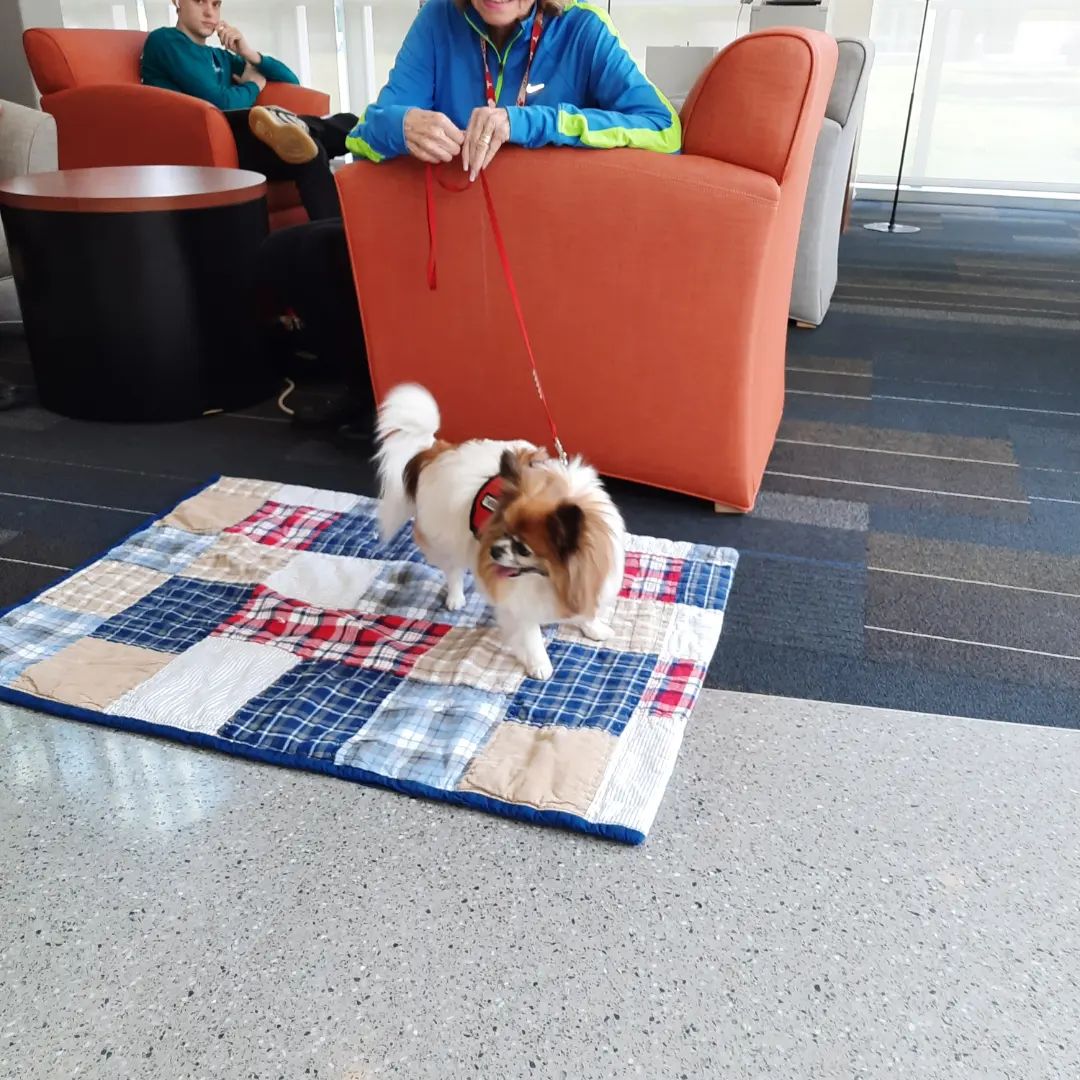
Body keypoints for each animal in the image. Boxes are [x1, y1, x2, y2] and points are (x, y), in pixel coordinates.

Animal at [375, 384, 626, 678]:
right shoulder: (518, 600)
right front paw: (539, 664)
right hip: (445, 541)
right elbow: (530, 634)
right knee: (453, 570)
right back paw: (456, 598)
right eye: (501, 530)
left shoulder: (587, 578)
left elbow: (586, 608)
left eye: (524, 549)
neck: (551, 580)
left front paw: (592, 627)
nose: (492, 551)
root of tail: (437, 451)